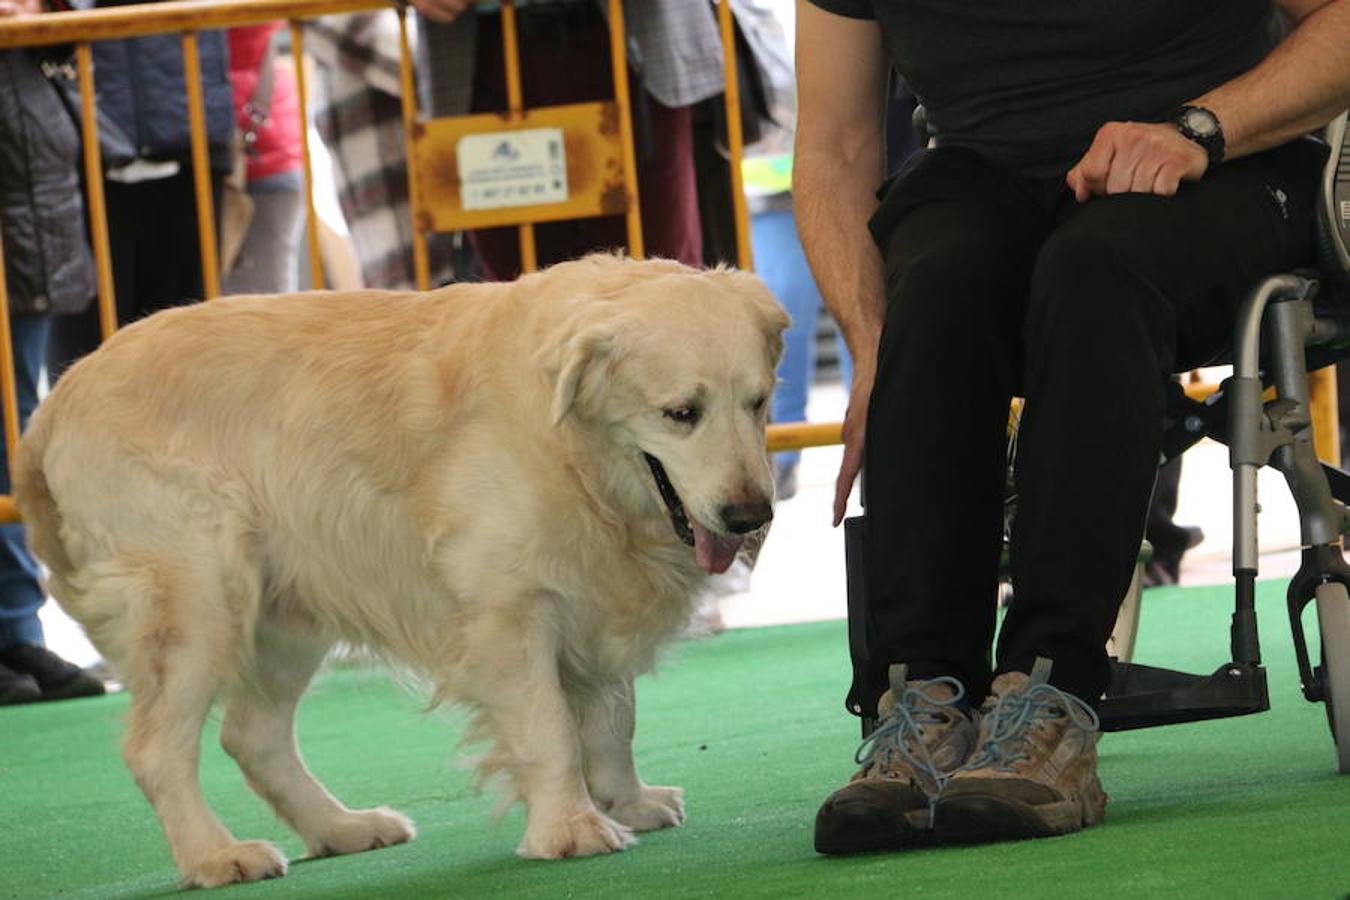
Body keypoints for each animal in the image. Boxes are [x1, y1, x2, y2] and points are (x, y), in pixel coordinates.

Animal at [13, 253, 788, 885]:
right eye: (681, 413)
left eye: (757, 401)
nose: (751, 515)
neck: (573, 451)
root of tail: (56, 401)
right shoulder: (508, 612)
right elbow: (550, 730)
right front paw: (569, 828)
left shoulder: (594, 594)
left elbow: (612, 719)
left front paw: (627, 800)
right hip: (198, 598)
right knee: (157, 750)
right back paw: (215, 855)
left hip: (286, 609)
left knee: (253, 736)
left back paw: (342, 829)